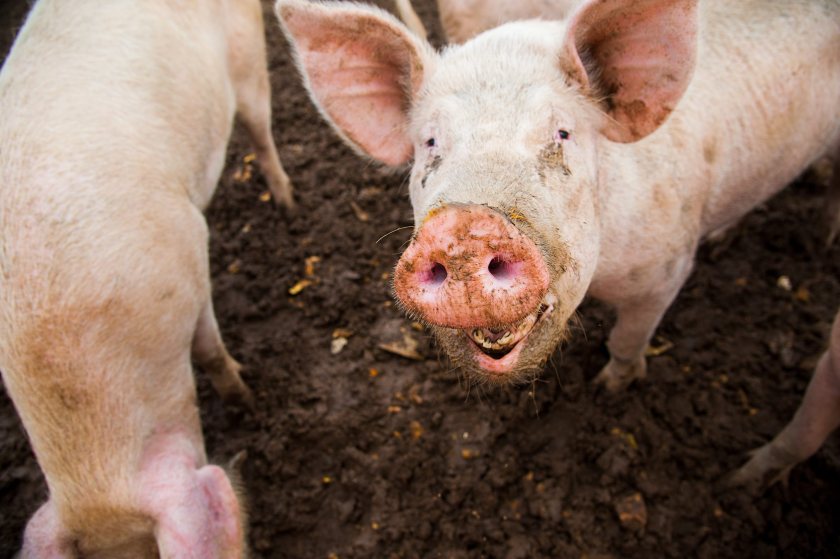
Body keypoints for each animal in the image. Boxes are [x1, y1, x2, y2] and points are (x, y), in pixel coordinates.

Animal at [0, 0, 294, 555]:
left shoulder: (188, 252)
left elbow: (207, 349)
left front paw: (244, 397)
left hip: (246, 48)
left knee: (259, 124)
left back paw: (287, 203)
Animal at [276, 0, 840, 488]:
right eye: (431, 143)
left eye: (562, 134)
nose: (462, 228)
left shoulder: (667, 268)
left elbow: (627, 341)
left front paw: (610, 388)